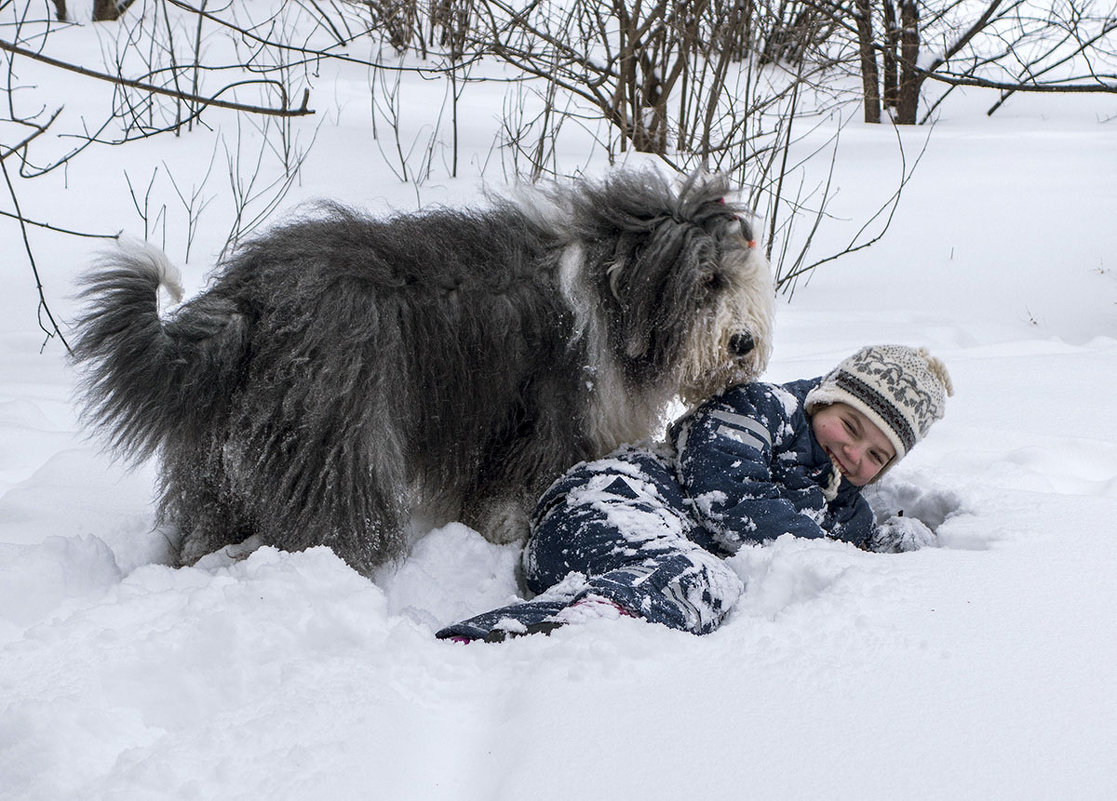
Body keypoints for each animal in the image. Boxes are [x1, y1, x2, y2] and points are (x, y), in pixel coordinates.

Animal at [74, 168, 777, 576]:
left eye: (743, 279)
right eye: (709, 281)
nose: (743, 343)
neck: (613, 289)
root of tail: (250, 300)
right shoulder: (547, 418)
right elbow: (516, 490)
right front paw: (504, 534)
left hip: (221, 452)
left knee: (207, 523)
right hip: (340, 438)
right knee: (335, 525)